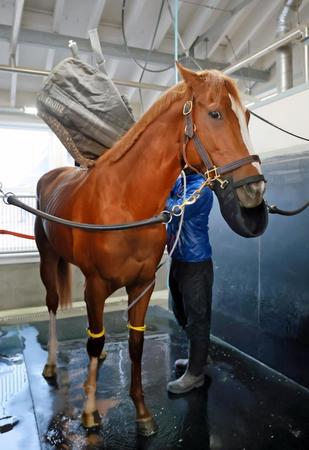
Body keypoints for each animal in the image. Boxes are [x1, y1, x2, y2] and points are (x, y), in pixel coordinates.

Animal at [34, 64, 264, 436]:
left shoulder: (142, 285)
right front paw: (89, 413)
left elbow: (135, 344)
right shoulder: (95, 284)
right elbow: (96, 339)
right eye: (215, 113)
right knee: (53, 305)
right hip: (47, 258)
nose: (254, 189)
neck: (126, 202)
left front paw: (142, 413)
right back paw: (53, 365)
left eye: (246, 116)